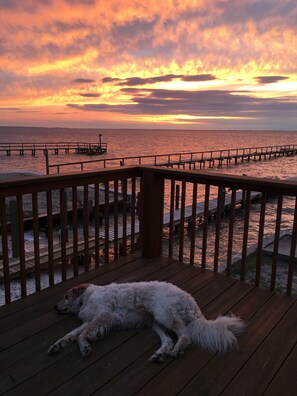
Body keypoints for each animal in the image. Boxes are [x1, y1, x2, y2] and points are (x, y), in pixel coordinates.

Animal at [48, 280, 243, 360]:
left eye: (66, 296)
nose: (54, 307)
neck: (86, 298)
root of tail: (191, 300)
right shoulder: (90, 321)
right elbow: (71, 334)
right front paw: (57, 345)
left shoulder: (103, 316)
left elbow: (81, 336)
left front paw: (85, 348)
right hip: (156, 323)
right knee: (168, 340)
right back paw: (159, 354)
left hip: (164, 314)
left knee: (185, 335)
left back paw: (177, 351)